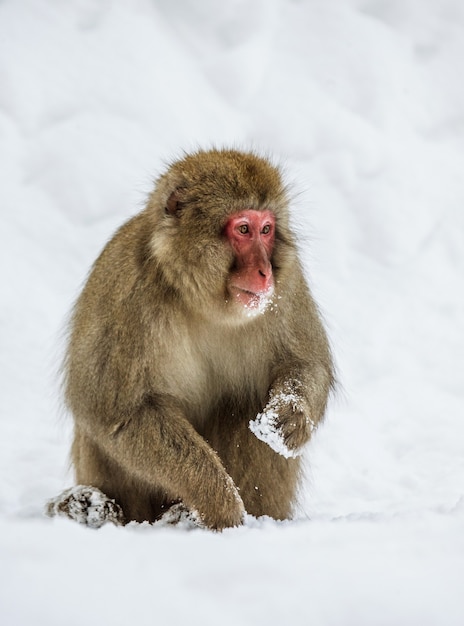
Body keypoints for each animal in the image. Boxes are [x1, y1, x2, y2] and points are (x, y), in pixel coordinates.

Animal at [46, 149, 334, 528]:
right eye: (243, 229)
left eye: (266, 230)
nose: (265, 272)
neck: (200, 301)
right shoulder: (126, 290)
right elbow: (118, 413)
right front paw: (219, 499)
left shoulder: (287, 287)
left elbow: (306, 363)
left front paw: (292, 414)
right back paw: (95, 506)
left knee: (244, 399)